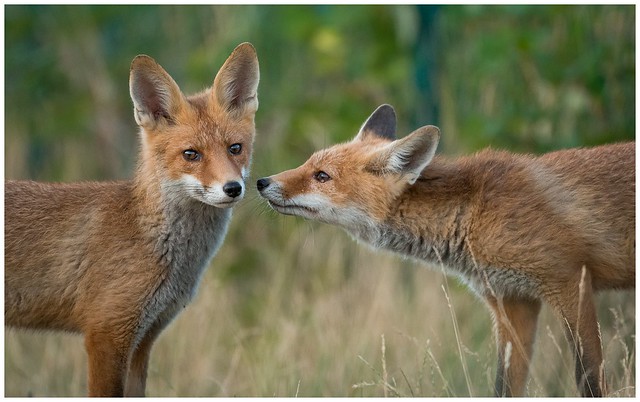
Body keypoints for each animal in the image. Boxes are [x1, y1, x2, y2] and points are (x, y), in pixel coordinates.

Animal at [256, 103, 636, 396]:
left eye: (322, 176)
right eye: (308, 163)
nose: (261, 182)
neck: (475, 212)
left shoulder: (571, 284)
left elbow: (590, 380)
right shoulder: (512, 301)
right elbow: (504, 387)